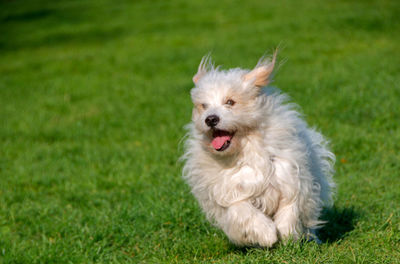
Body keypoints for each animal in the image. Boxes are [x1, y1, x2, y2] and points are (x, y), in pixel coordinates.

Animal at [181, 52, 334, 248]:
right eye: (204, 106)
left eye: (230, 102)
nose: (210, 119)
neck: (246, 151)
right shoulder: (228, 190)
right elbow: (243, 209)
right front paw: (267, 234)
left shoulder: (291, 176)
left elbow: (290, 206)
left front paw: (286, 234)